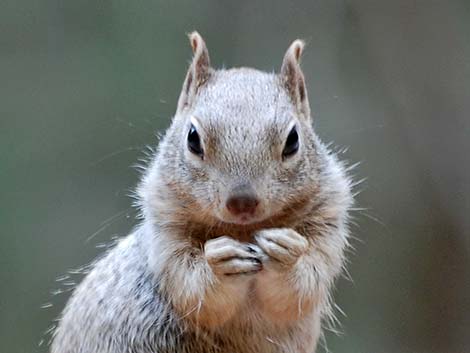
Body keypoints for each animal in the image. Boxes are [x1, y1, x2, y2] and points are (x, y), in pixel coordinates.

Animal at [50, 31, 352, 350]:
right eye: (193, 138)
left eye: (293, 140)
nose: (242, 203)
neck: (242, 230)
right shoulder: (166, 230)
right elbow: (193, 288)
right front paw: (218, 264)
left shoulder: (328, 224)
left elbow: (303, 286)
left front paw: (287, 256)